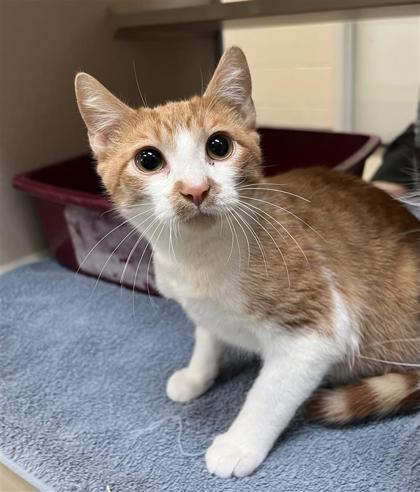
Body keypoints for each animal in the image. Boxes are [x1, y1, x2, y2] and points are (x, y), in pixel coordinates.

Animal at [75, 48, 420, 478]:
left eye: (219, 145)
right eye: (148, 159)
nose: (196, 189)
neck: (199, 259)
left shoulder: (316, 333)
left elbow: (267, 396)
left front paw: (239, 444)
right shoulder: (202, 308)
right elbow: (206, 339)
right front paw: (196, 375)